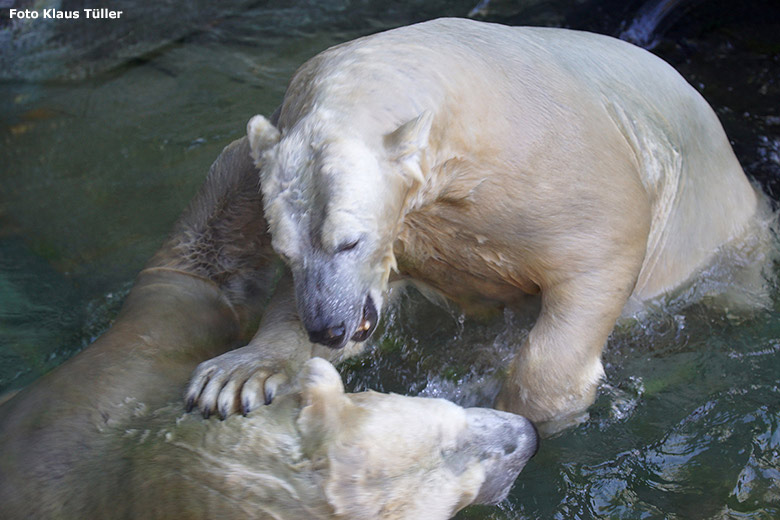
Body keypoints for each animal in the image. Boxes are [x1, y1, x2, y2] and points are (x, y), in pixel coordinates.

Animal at [187, 18, 768, 428]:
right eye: (285, 251)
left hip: (716, 222)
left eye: (349, 241)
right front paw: (237, 374)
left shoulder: (554, 160)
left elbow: (601, 249)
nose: (327, 327)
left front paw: (522, 411)